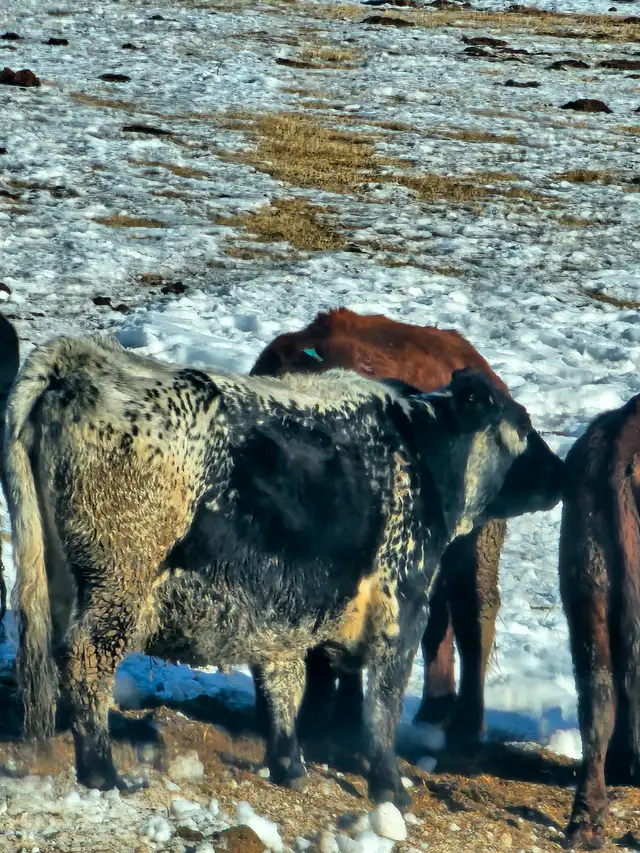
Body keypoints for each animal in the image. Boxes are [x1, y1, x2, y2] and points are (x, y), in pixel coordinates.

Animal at [6, 325, 536, 802]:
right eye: (525, 429)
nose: (553, 474)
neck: (420, 447)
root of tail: (83, 363)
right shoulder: (401, 606)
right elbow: (381, 705)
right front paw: (389, 787)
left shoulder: (280, 608)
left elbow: (283, 680)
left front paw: (289, 764)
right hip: (117, 589)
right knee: (86, 660)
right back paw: (103, 773)